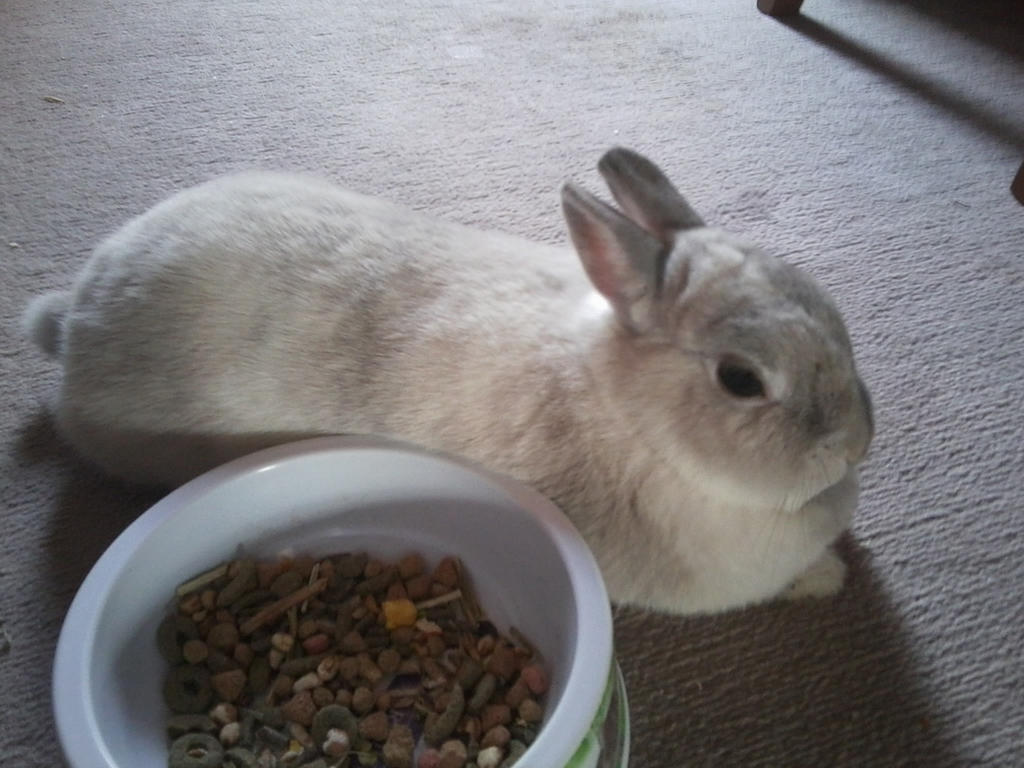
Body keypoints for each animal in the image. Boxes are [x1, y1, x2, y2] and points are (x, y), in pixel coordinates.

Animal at [23, 147, 873, 615]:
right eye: (740, 379)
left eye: (830, 309)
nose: (856, 442)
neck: (631, 416)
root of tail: (78, 317)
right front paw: (828, 577)